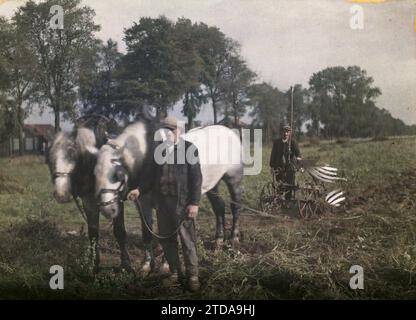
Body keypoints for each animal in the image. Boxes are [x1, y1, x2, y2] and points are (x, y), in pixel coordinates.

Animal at [46, 115, 133, 272]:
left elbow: (119, 230)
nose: (61, 194)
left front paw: (126, 265)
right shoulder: (89, 201)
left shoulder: (117, 200)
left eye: (72, 153)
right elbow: (93, 233)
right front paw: (94, 264)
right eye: (49, 156)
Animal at [94, 120, 244, 260]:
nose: (107, 209)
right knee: (219, 207)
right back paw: (218, 241)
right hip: (212, 184)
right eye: (95, 173)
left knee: (235, 206)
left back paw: (234, 239)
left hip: (234, 178)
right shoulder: (143, 204)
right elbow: (148, 232)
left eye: (117, 174)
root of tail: (230, 132)